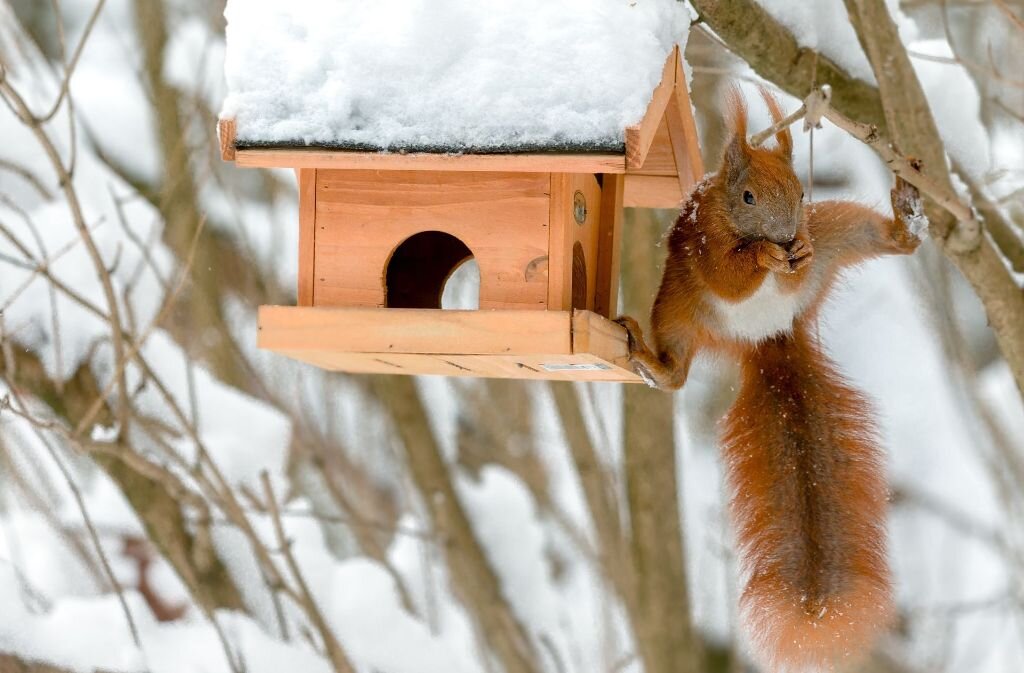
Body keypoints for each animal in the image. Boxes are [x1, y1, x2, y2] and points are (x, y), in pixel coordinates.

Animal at [618, 88, 925, 667]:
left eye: (802, 191)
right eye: (747, 196)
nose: (786, 237)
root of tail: (769, 338)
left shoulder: (809, 237)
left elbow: (795, 268)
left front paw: (793, 253)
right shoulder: (706, 247)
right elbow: (729, 275)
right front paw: (762, 255)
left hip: (837, 232)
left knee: (886, 242)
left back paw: (906, 219)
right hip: (678, 315)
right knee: (676, 371)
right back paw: (651, 360)